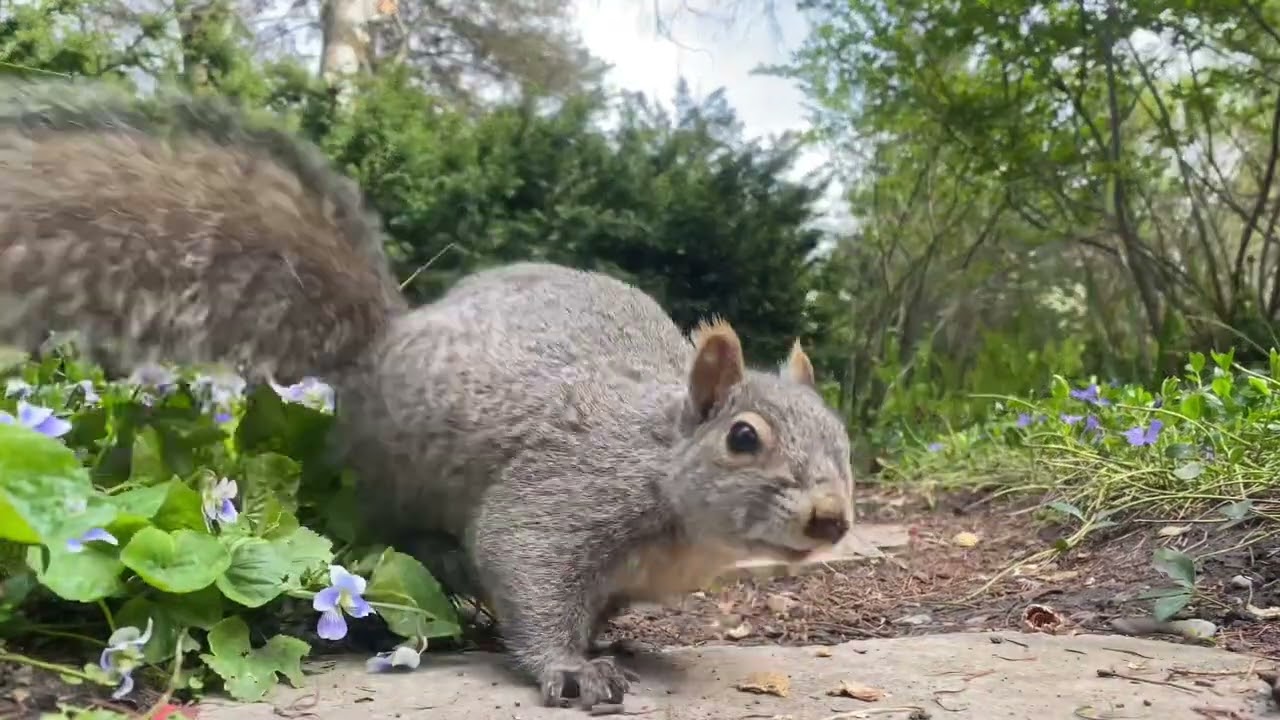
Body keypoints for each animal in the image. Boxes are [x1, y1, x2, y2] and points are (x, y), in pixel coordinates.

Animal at [0, 78, 857, 711]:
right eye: (743, 438)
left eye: (843, 442)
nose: (832, 519)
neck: (665, 475)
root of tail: (382, 346)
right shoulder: (567, 494)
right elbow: (523, 564)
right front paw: (571, 667)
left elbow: (593, 609)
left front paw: (608, 644)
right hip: (398, 475)